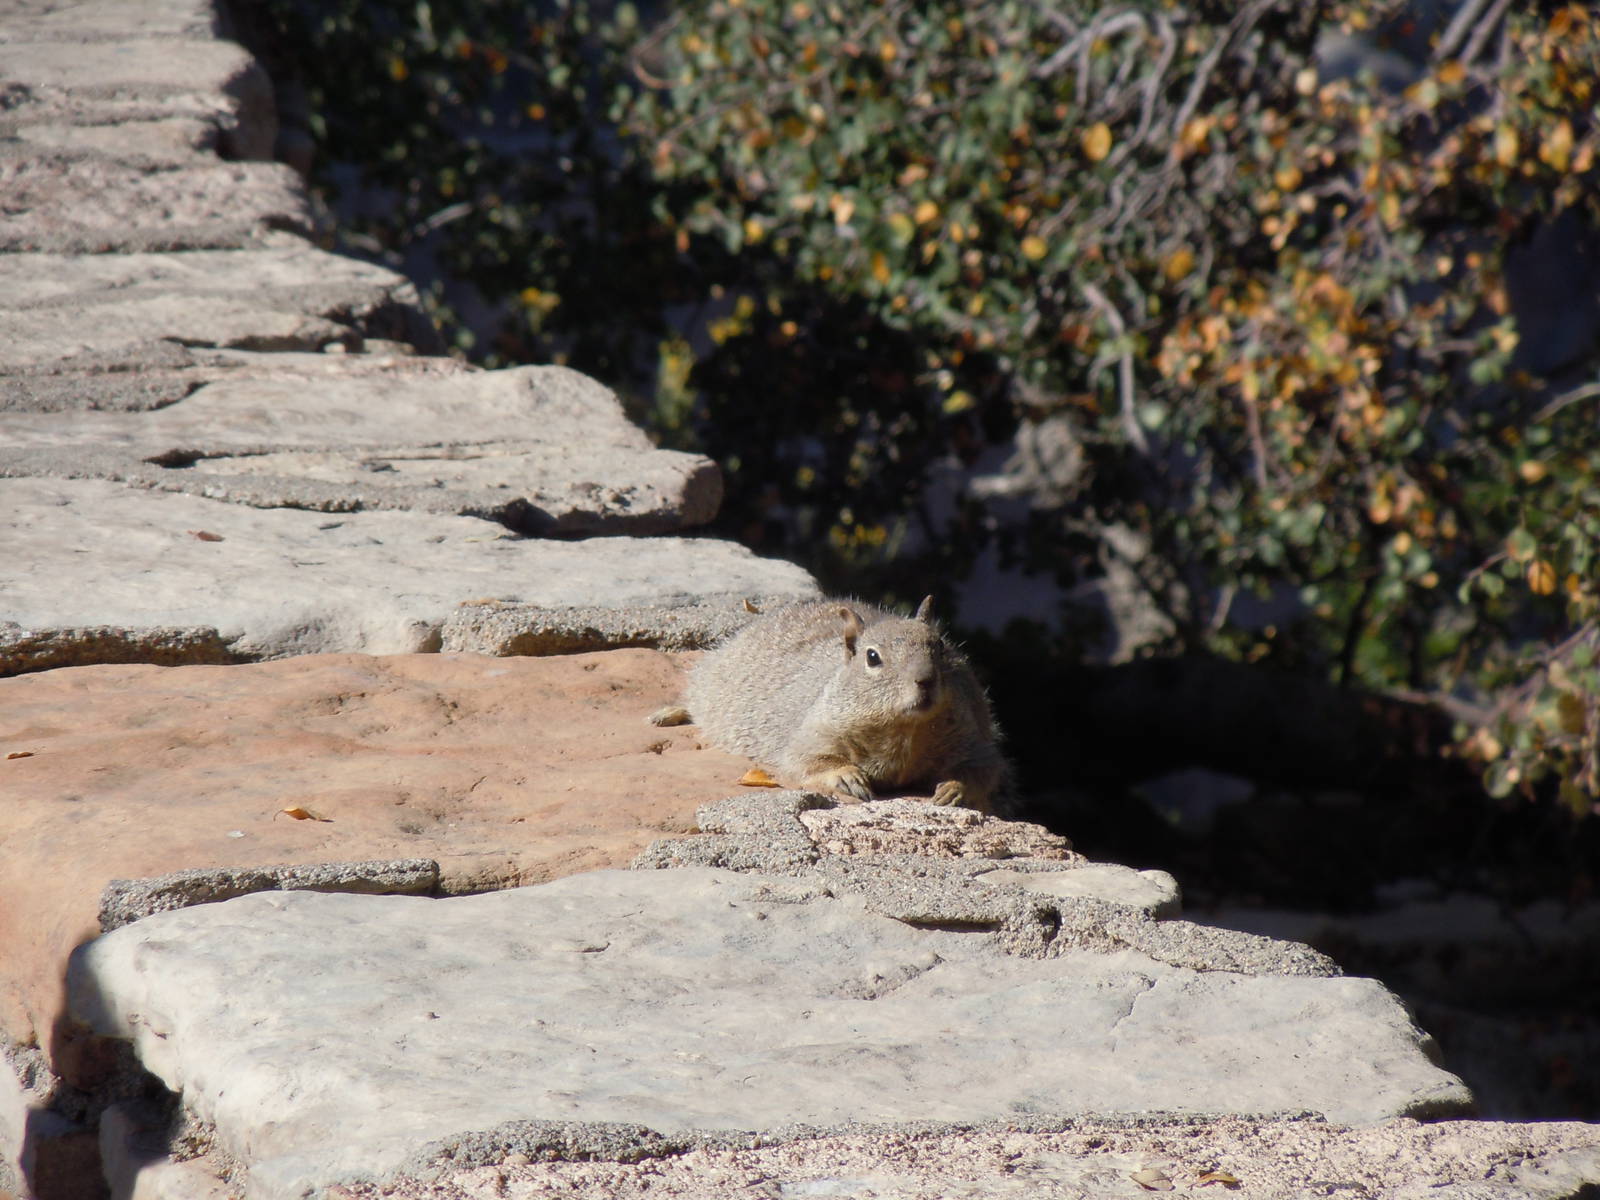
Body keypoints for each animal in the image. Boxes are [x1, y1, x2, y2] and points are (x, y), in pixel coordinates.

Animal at [651, 596, 1009, 813]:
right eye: (872, 657)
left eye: (941, 647)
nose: (925, 680)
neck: (903, 730)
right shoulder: (811, 732)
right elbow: (809, 761)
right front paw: (847, 776)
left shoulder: (972, 737)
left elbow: (984, 769)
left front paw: (954, 789)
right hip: (714, 683)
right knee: (693, 697)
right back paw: (667, 714)